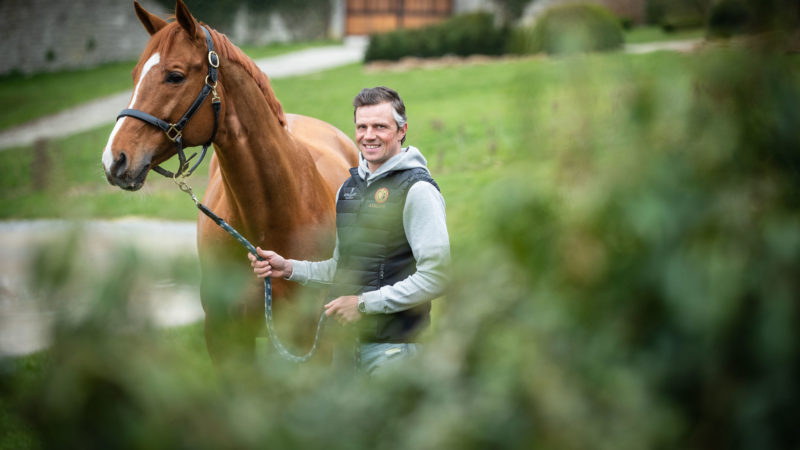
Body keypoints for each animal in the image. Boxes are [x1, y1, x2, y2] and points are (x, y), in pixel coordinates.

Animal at [101, 0, 358, 370]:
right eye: (135, 75)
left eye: (175, 76)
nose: (115, 159)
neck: (267, 226)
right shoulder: (225, 340)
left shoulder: (312, 344)